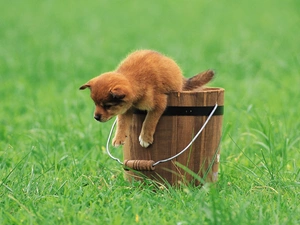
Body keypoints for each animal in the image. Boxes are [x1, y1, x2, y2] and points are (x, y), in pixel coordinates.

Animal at [79, 49, 213, 148]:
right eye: (95, 104)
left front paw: (145, 138)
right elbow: (122, 123)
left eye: (108, 106)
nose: (96, 117)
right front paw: (119, 138)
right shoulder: (126, 109)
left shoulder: (159, 104)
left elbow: (149, 120)